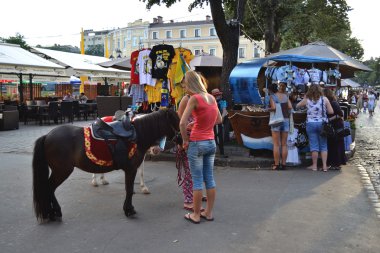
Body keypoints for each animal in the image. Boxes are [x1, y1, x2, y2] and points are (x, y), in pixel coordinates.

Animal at [31, 108, 179, 221]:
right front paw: (129, 210)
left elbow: (132, 186)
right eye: (176, 121)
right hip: (61, 171)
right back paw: (54, 212)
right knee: (49, 188)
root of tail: (47, 136)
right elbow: (129, 189)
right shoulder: (131, 169)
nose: (181, 138)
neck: (137, 135)